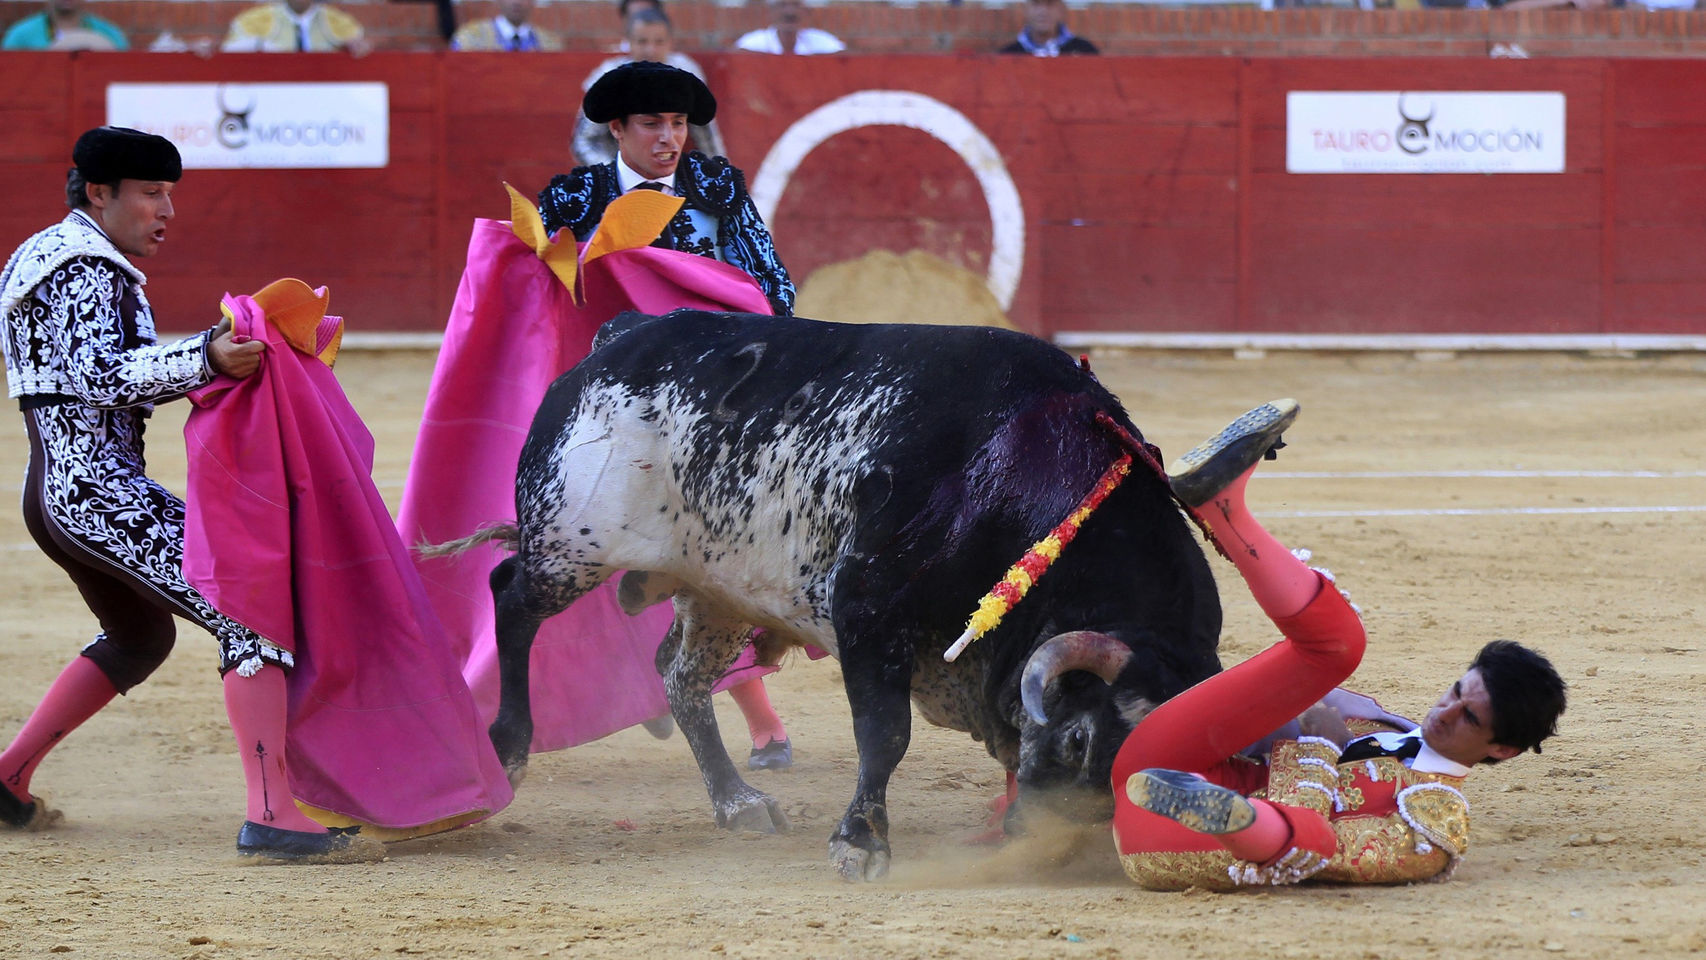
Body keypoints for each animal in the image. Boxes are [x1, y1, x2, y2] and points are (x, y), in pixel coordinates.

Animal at [487, 312, 1221, 879]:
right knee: (510, 601)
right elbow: (884, 732)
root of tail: (619, 335)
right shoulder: (866, 605)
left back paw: (737, 802)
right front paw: (860, 843)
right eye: (1078, 741)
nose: (1045, 838)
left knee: (679, 677)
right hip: (569, 545)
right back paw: (508, 750)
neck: (1015, 469)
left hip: (716, 590)